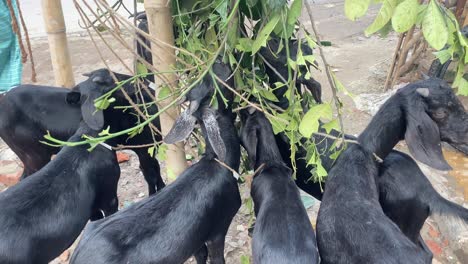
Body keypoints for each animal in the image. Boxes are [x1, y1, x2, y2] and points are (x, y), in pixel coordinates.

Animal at [72, 60, 241, 262]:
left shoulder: (194, 239)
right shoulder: (218, 229)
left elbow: (201, 255)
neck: (217, 162)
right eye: (214, 86)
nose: (219, 61)